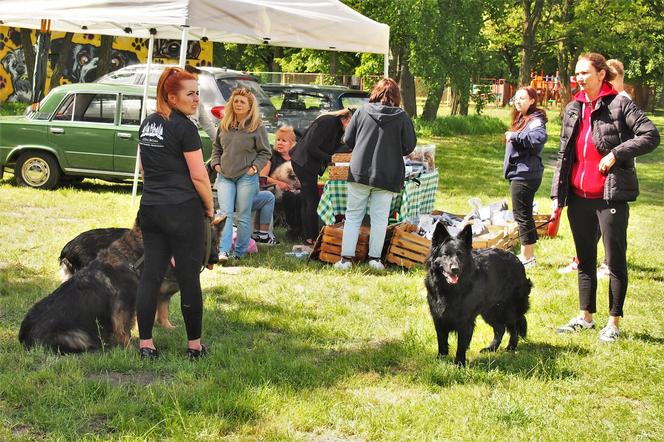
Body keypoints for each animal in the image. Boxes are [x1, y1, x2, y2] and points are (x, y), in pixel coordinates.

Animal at [428, 224, 532, 366]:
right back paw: (491, 349)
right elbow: (442, 342)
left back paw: (511, 347)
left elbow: (461, 345)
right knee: (500, 328)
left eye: (460, 255)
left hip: (507, 308)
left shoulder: (465, 321)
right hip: (491, 311)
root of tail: (517, 259)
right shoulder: (439, 317)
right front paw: (441, 360)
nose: (455, 269)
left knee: (513, 326)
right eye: (445, 254)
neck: (450, 289)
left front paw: (459, 364)